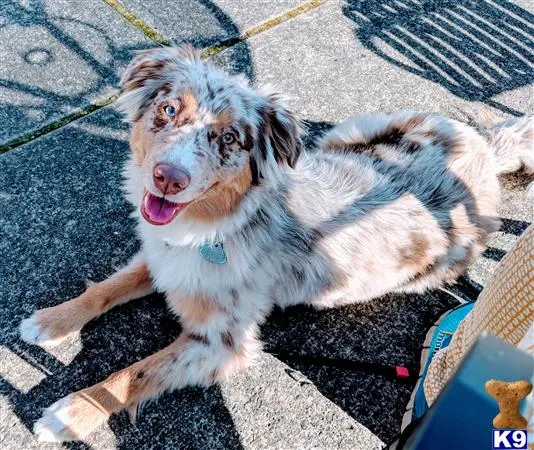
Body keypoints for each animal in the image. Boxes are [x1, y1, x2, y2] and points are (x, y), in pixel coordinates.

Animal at [18, 46, 532, 442]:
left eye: (229, 137)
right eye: (169, 110)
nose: (168, 178)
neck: (212, 229)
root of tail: (487, 151)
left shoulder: (222, 342)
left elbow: (132, 374)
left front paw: (69, 412)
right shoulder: (164, 254)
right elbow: (106, 288)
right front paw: (50, 321)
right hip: (351, 131)